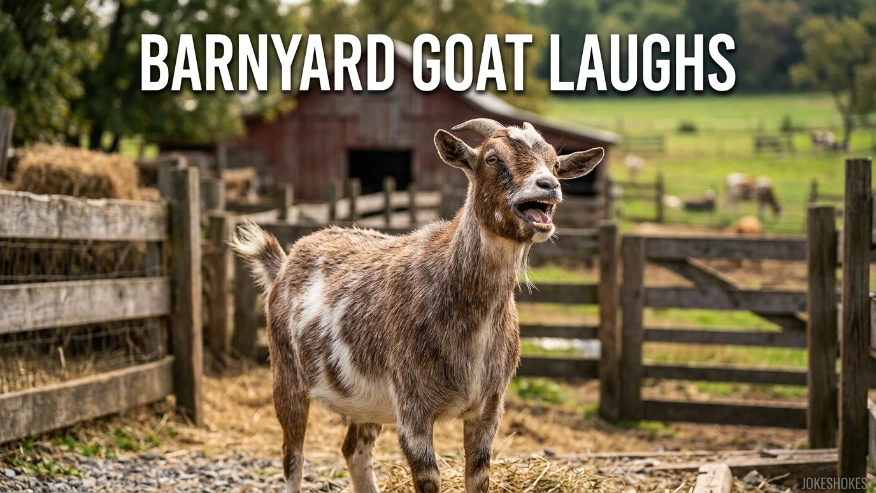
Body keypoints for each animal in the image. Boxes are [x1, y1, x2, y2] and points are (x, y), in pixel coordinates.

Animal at [230, 119, 604, 493]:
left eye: (555, 164)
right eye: (492, 158)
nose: (549, 185)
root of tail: (283, 263)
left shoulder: (488, 408)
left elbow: (479, 477)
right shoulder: (413, 407)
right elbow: (428, 480)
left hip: (367, 401)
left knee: (354, 450)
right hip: (286, 375)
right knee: (293, 456)